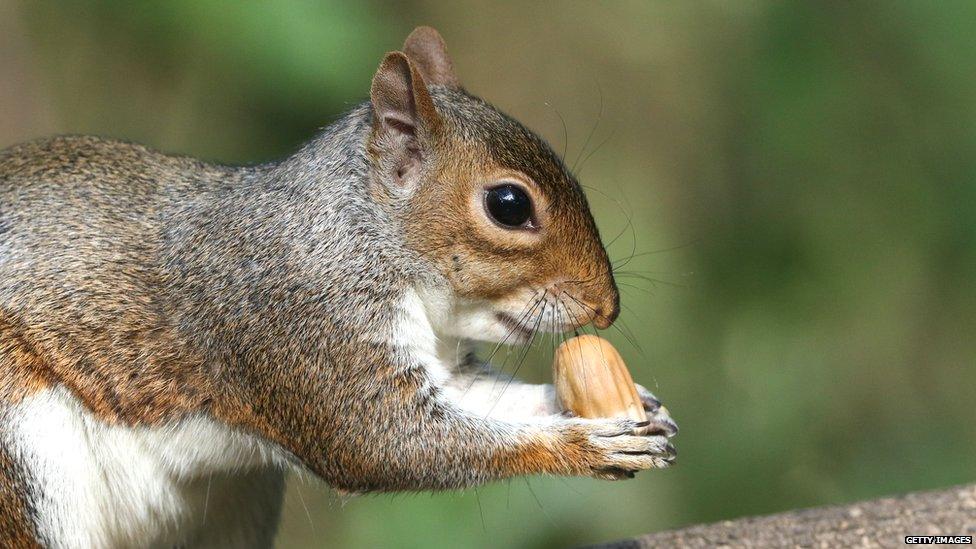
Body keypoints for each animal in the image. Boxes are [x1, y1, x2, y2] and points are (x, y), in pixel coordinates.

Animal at [0, 26, 676, 548]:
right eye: (508, 205)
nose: (606, 308)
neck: (367, 235)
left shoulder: (437, 363)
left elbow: (483, 402)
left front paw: (638, 408)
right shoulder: (307, 321)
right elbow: (382, 441)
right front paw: (584, 444)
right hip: (23, 459)